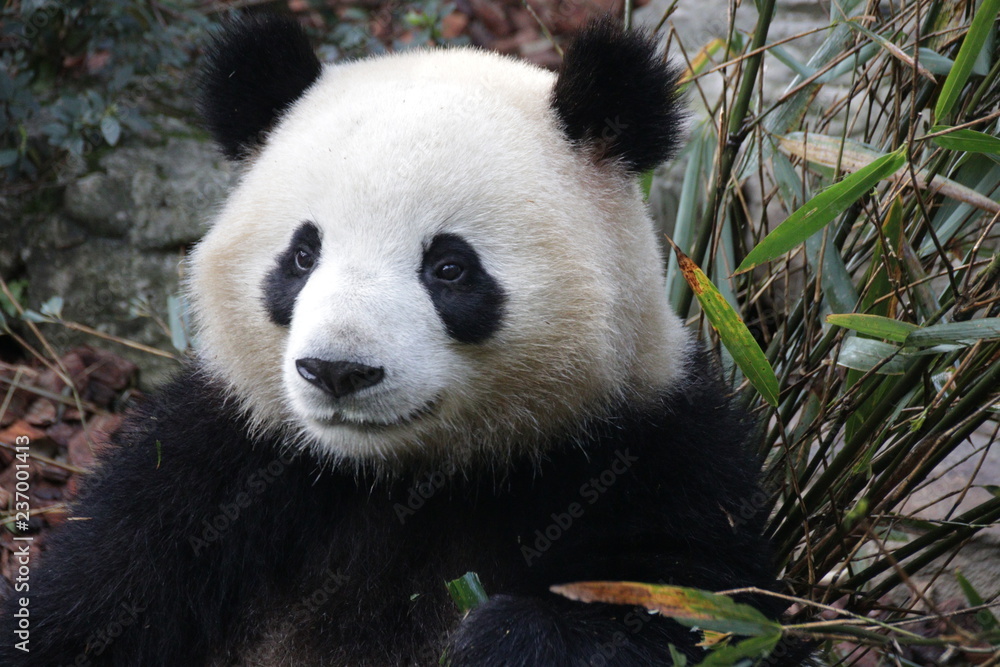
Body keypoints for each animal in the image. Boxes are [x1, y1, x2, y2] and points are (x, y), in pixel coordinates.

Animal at [0, 13, 796, 667]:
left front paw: (505, 638)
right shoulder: (215, 473)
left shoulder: (648, 457)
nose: (337, 370)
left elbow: (700, 617)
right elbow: (88, 604)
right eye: (302, 255)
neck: (399, 477)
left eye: (449, 267)